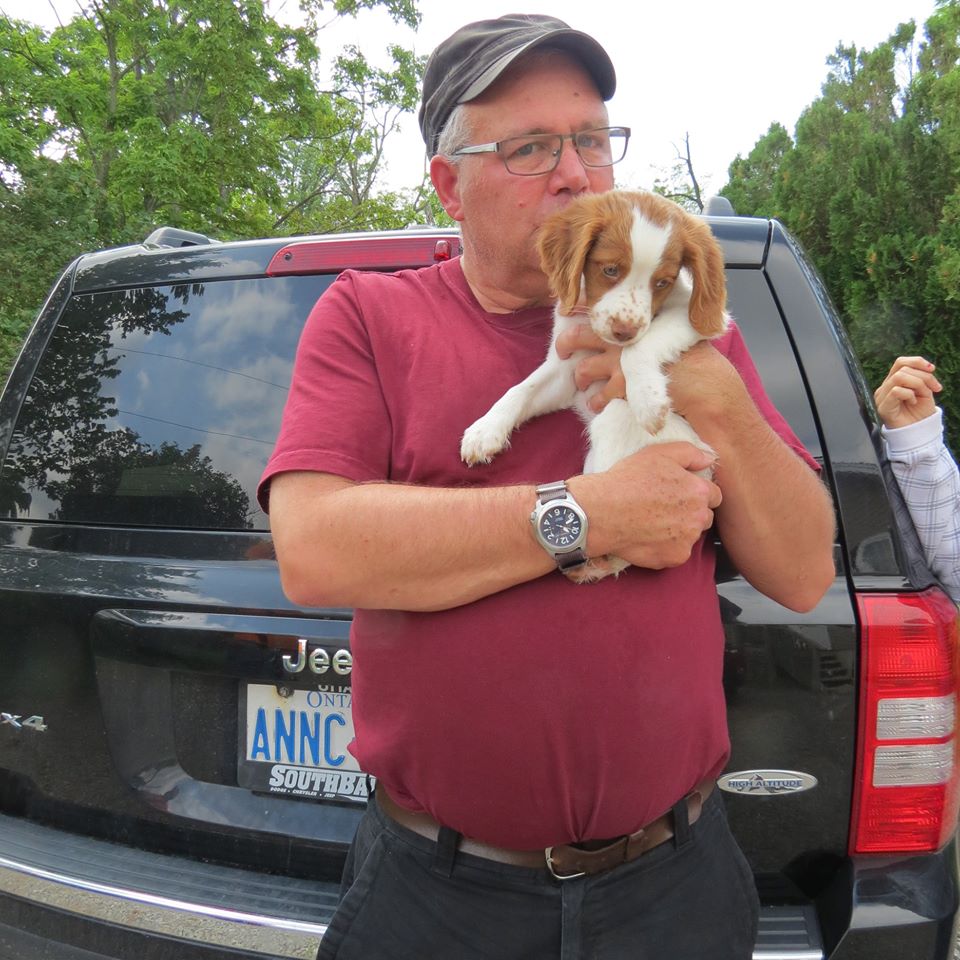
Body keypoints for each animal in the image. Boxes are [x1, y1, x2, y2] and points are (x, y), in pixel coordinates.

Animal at [459, 189, 730, 582]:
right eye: (610, 269)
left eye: (661, 283)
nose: (624, 330)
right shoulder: (565, 370)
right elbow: (522, 389)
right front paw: (485, 431)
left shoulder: (693, 316)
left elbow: (637, 350)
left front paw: (648, 401)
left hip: (614, 421)